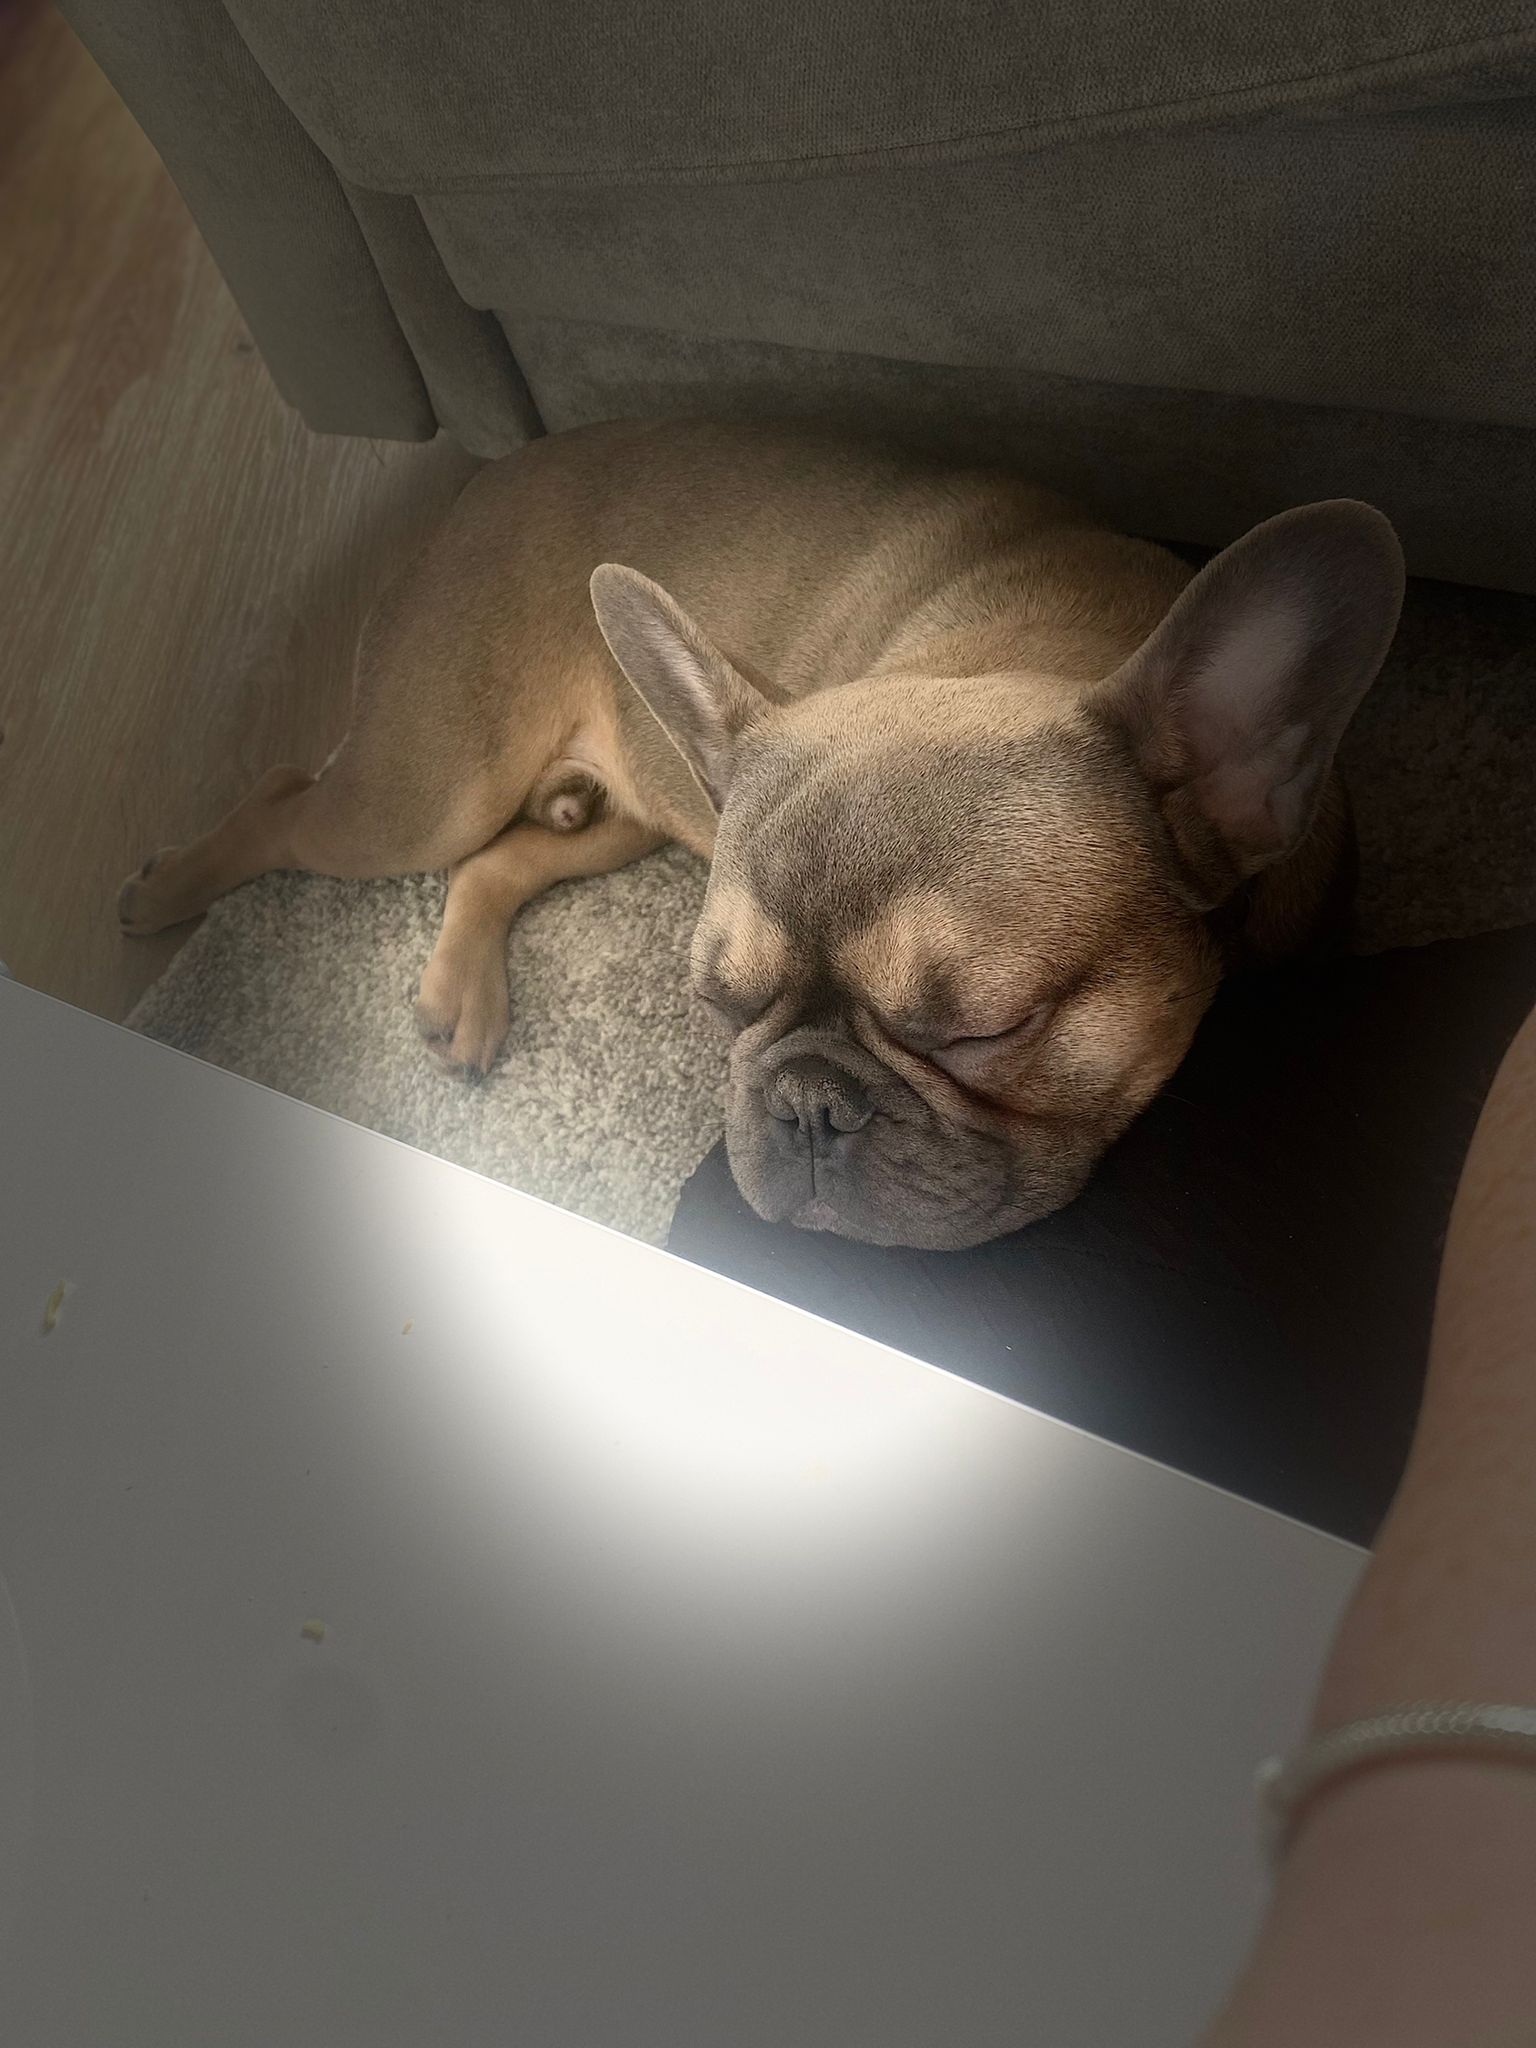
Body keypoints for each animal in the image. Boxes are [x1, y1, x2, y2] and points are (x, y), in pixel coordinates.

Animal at [119, 418, 1404, 1249]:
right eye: (719, 1004)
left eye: (989, 1029)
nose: (805, 1107)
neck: (1028, 643)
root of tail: (492, 475)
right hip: (430, 787)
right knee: (289, 796)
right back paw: (166, 887)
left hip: (635, 806)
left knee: (503, 859)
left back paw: (463, 991)